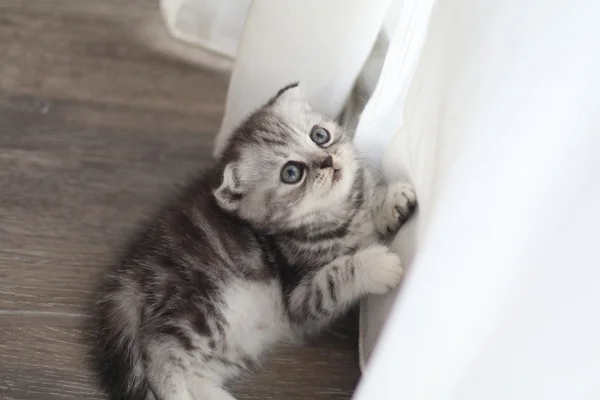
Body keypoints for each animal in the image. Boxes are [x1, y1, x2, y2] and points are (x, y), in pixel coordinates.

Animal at [90, 83, 418, 400]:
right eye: (291, 172)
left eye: (319, 135)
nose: (327, 160)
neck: (340, 216)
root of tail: (134, 272)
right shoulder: (297, 299)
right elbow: (334, 276)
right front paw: (378, 265)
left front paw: (391, 201)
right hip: (207, 307)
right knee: (158, 351)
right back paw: (176, 392)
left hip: (234, 341)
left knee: (195, 372)